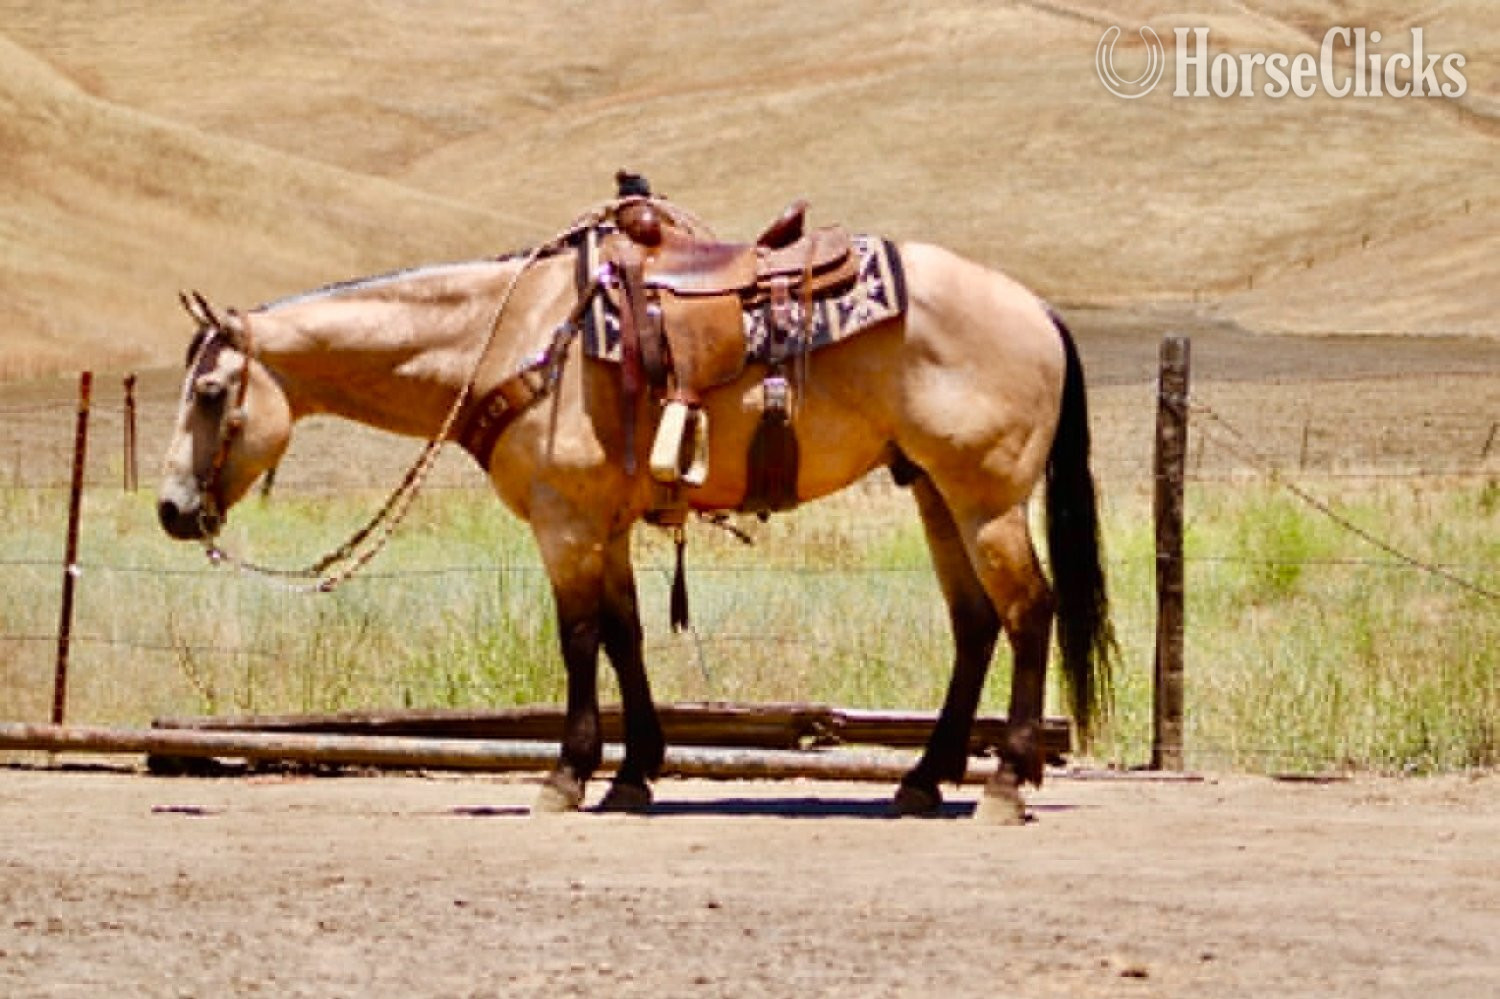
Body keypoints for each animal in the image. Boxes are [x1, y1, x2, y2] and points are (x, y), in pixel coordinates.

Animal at [157, 214, 1114, 823]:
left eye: (210, 392)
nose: (172, 509)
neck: (512, 336)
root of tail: (1035, 308)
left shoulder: (565, 523)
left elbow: (579, 639)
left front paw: (567, 773)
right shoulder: (603, 524)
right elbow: (626, 635)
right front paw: (635, 772)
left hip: (986, 498)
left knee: (1029, 612)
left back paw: (1006, 781)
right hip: (936, 494)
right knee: (975, 624)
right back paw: (925, 777)